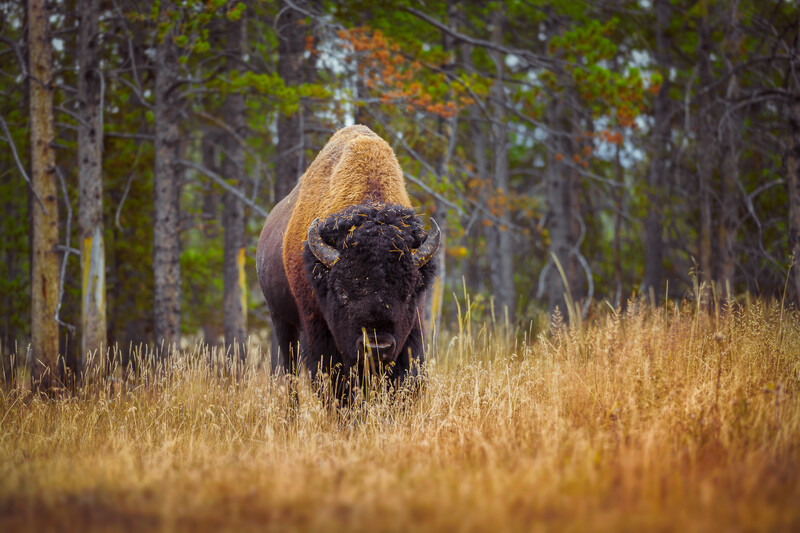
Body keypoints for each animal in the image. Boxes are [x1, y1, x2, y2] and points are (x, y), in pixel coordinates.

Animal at [256, 125, 439, 396]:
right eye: (342, 292)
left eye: (408, 294)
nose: (377, 347)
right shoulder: (318, 330)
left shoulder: (412, 329)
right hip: (281, 319)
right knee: (290, 372)